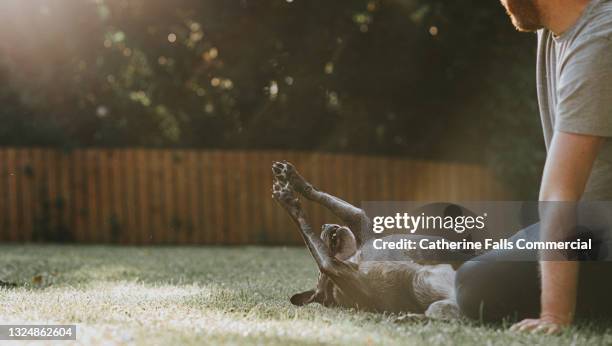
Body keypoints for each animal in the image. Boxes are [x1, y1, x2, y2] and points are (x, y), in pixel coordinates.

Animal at [270, 162, 462, 318]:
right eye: (319, 275)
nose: (324, 225)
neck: (356, 257)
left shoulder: (361, 224)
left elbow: (326, 198)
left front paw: (291, 178)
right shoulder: (332, 266)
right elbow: (306, 230)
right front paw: (288, 202)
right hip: (438, 305)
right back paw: (410, 317)